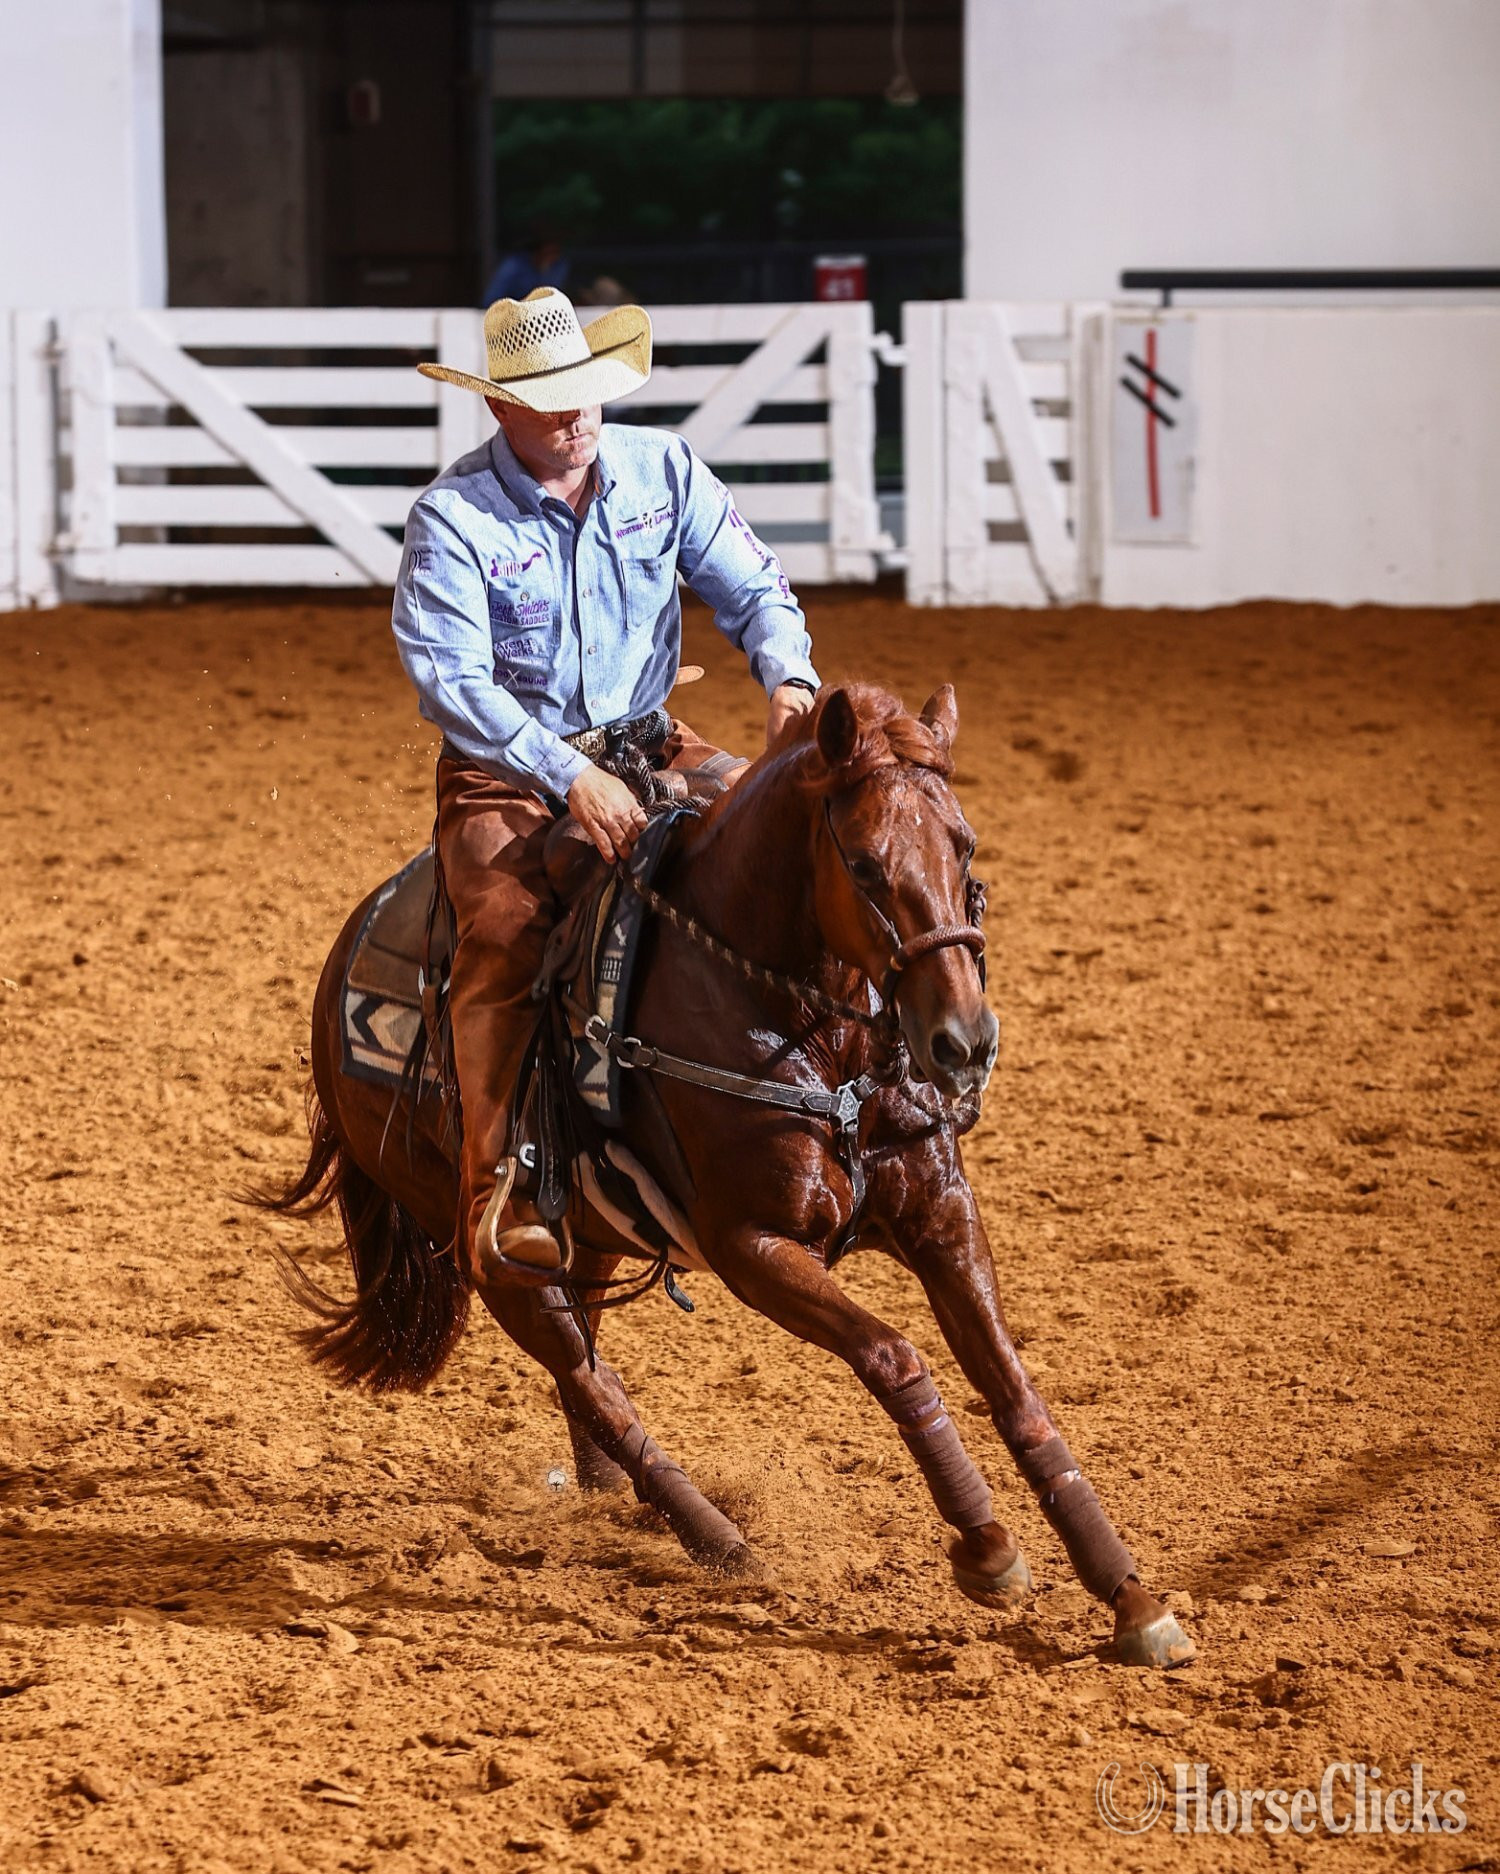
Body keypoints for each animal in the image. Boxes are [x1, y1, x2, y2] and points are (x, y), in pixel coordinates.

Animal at [262, 682, 1194, 1668]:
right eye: (865, 864)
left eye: (966, 843)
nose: (964, 1043)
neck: (810, 1030)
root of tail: (338, 969)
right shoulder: (754, 1246)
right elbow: (896, 1358)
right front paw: (986, 1546)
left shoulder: (941, 1212)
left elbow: (1013, 1386)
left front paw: (1129, 1595)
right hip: (500, 1254)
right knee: (586, 1374)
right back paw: (717, 1540)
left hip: (589, 1228)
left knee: (587, 1355)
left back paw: (611, 1499)